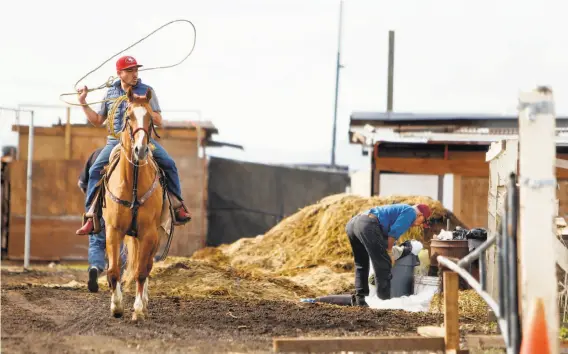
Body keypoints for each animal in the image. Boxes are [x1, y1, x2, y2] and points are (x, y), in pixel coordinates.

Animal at [103, 88, 163, 320]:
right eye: (128, 116)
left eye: (150, 118)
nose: (141, 150)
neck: (133, 183)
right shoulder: (113, 230)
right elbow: (113, 271)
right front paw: (116, 306)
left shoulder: (148, 232)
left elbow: (141, 272)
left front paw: (138, 309)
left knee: (146, 266)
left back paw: (144, 303)